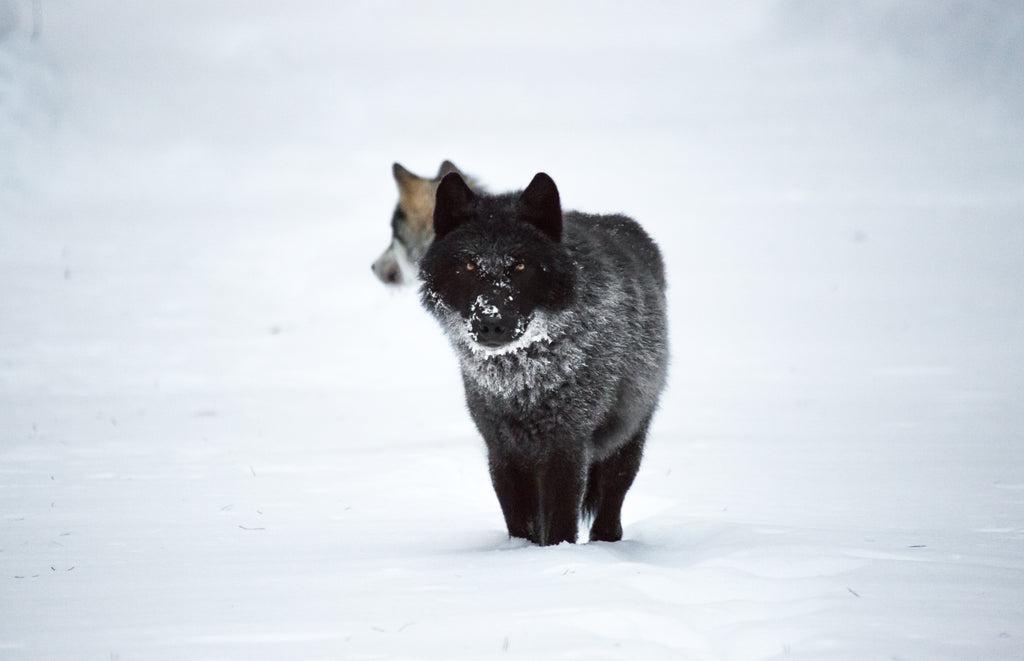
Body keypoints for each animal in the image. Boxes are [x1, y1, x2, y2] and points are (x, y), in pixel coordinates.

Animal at [419, 172, 668, 546]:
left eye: (520, 265)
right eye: (469, 265)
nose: (491, 322)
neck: (521, 382)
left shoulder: (565, 448)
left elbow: (560, 524)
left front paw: (556, 555)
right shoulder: (502, 451)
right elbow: (521, 524)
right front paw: (523, 553)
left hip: (628, 437)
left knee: (611, 505)